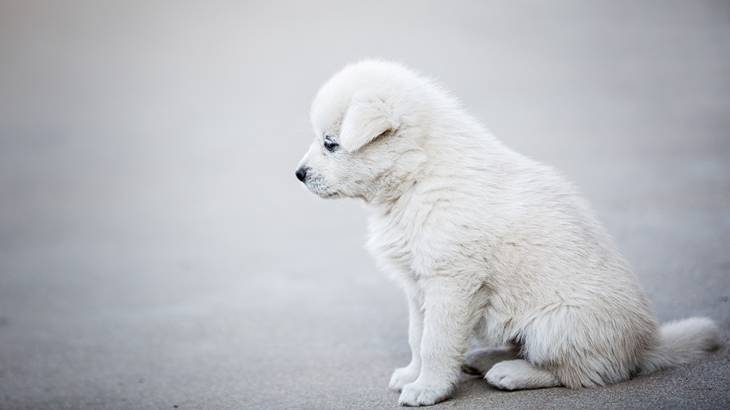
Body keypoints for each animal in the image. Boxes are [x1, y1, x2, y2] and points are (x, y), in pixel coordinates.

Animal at [292, 60, 720, 406]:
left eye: (331, 144)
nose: (298, 174)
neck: (418, 176)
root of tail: (645, 346)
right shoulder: (418, 285)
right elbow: (417, 335)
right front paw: (412, 374)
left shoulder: (451, 283)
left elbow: (435, 342)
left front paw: (428, 389)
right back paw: (485, 358)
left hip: (556, 324)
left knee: (582, 373)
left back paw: (511, 373)